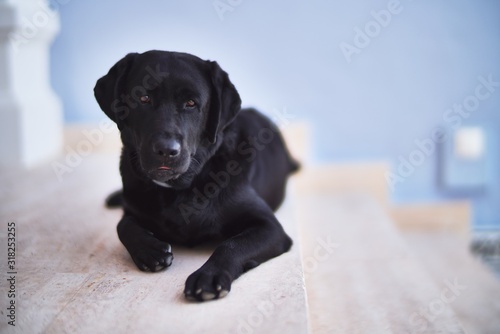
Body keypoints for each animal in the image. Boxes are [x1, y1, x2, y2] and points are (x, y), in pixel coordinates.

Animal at [94, 50, 296, 302]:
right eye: (144, 98)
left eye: (191, 103)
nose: (166, 150)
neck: (179, 189)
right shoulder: (133, 206)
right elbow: (123, 225)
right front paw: (149, 250)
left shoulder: (269, 227)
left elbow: (231, 245)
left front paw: (208, 276)